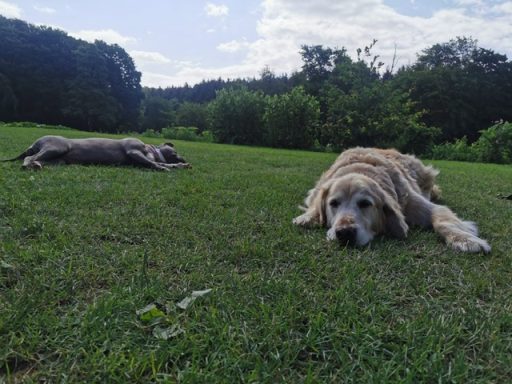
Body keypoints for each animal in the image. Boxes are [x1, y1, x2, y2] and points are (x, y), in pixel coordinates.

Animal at [292, 148, 488, 254]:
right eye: (333, 203)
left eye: (365, 204)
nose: (344, 233)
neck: (361, 168)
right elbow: (313, 205)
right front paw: (308, 217)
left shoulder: (417, 203)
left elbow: (442, 219)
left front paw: (465, 239)